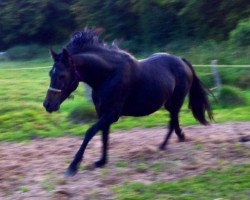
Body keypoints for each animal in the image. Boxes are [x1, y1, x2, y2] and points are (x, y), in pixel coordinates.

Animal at [43, 27, 213, 175]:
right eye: (50, 73)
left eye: (62, 75)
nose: (47, 104)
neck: (108, 76)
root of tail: (182, 61)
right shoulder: (103, 113)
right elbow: (104, 135)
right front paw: (101, 161)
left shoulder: (112, 113)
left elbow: (90, 132)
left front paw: (72, 166)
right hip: (169, 103)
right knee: (174, 121)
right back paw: (174, 140)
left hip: (176, 101)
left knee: (172, 121)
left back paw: (165, 144)